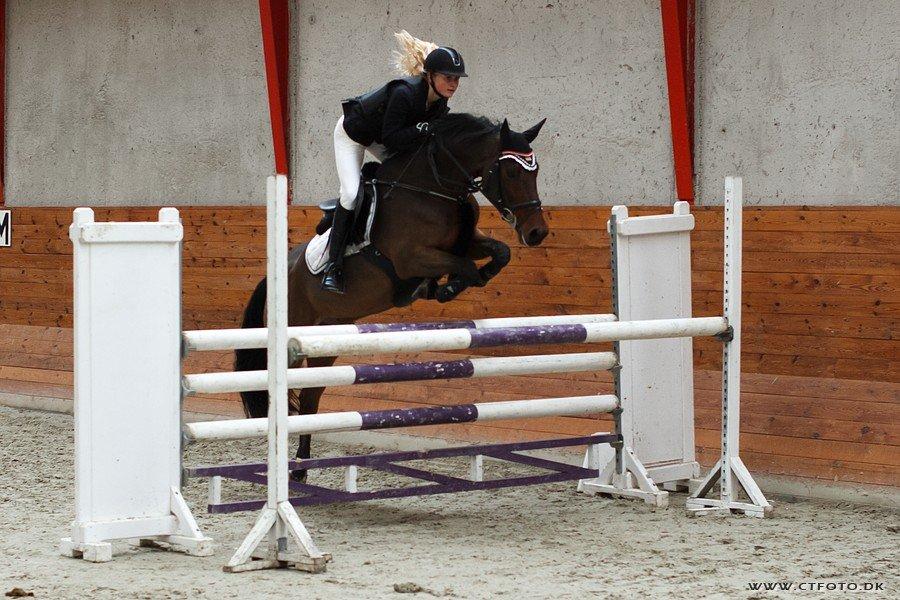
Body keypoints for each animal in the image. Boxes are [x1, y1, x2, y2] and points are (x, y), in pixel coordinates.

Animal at [236, 113, 549, 480]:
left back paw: (300, 468)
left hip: (326, 338)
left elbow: (499, 252)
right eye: (511, 172)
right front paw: (445, 287)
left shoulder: (466, 241)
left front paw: (457, 282)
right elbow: (466, 266)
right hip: (294, 336)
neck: (435, 188)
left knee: (311, 396)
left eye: (536, 171)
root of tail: (277, 273)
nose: (537, 232)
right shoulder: (411, 258)